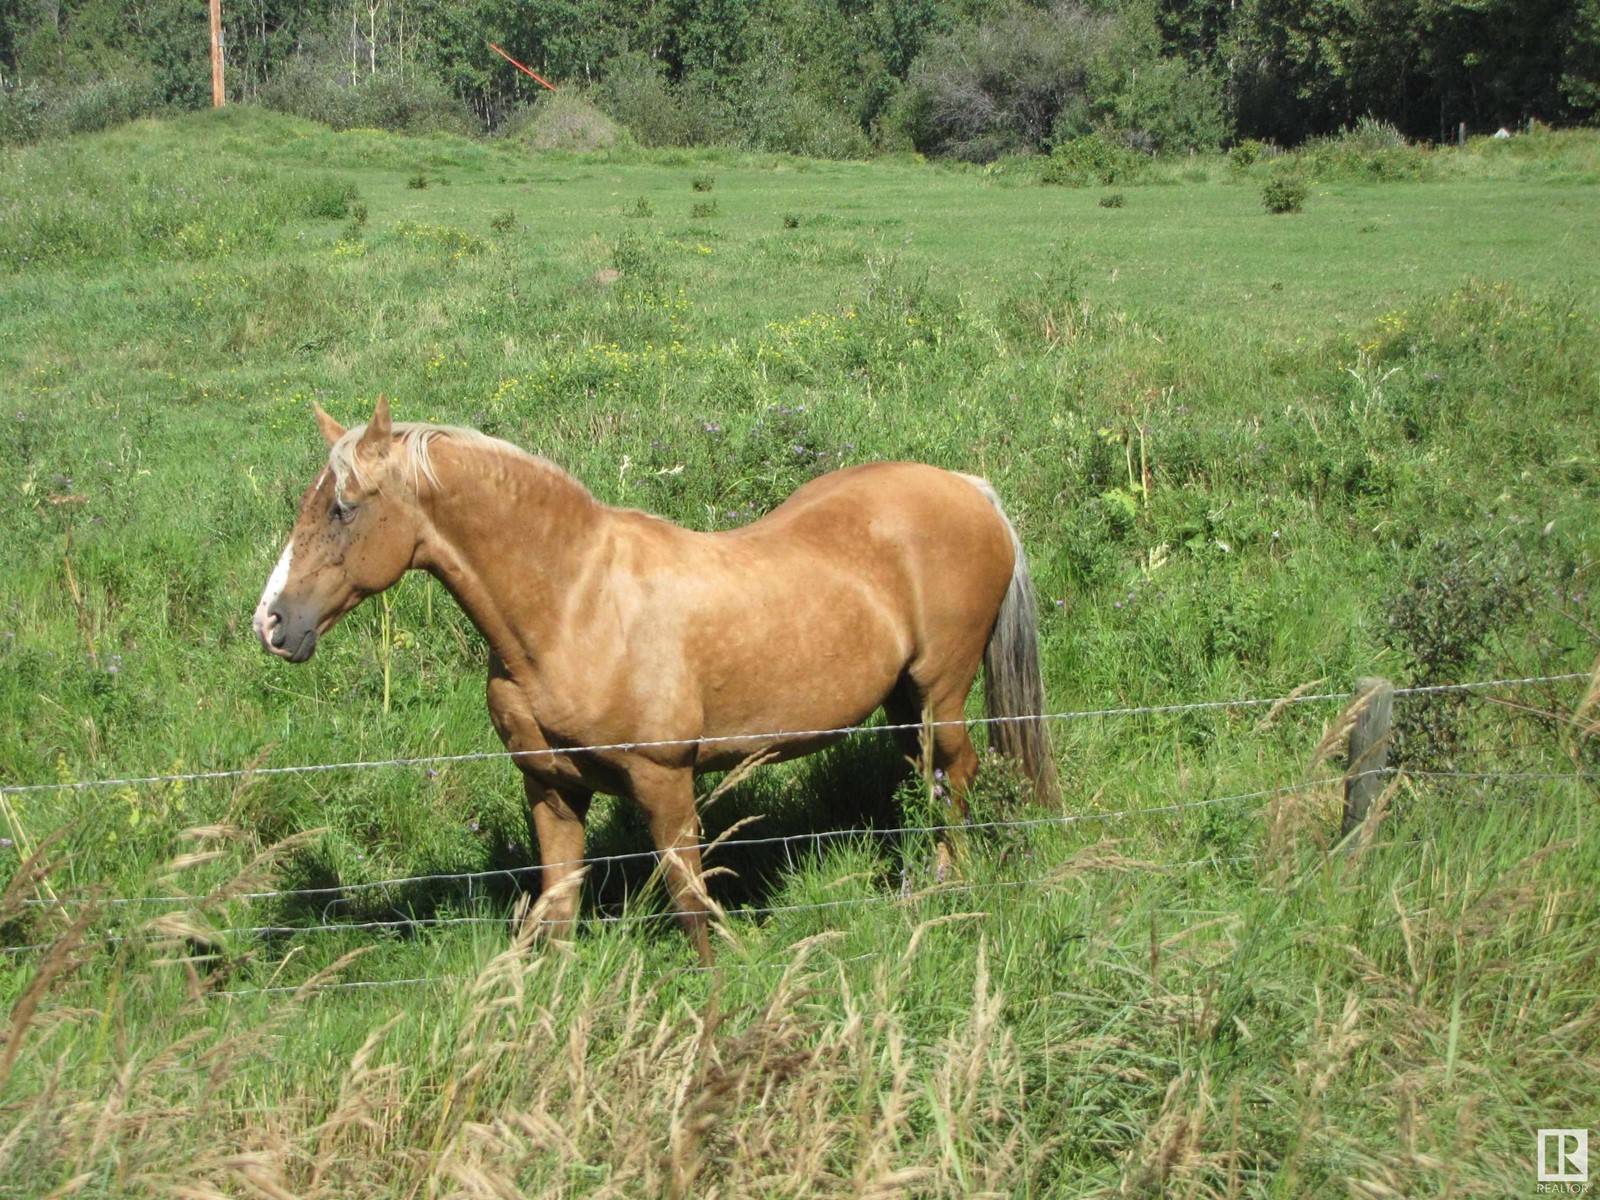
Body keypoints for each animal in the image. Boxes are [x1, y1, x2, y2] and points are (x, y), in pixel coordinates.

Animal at [256, 400, 1056, 966]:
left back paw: (949, 884)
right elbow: (558, 905)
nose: (272, 623)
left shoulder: (666, 780)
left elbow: (689, 901)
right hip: (899, 702)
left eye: (343, 507)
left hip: (941, 690)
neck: (573, 607)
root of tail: (968, 489)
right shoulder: (550, 787)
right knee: (919, 777)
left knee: (953, 774)